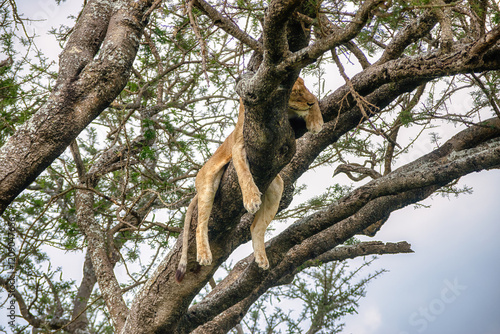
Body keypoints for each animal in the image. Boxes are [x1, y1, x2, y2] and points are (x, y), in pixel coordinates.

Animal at [177, 77, 324, 282]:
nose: (309, 103)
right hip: (207, 185)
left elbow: (317, 101)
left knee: (256, 227)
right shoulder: (239, 145)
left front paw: (316, 119)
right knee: (200, 226)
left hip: (276, 185)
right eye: (294, 92)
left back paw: (261, 258)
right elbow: (244, 175)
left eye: (306, 89)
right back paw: (204, 255)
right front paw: (251, 199)